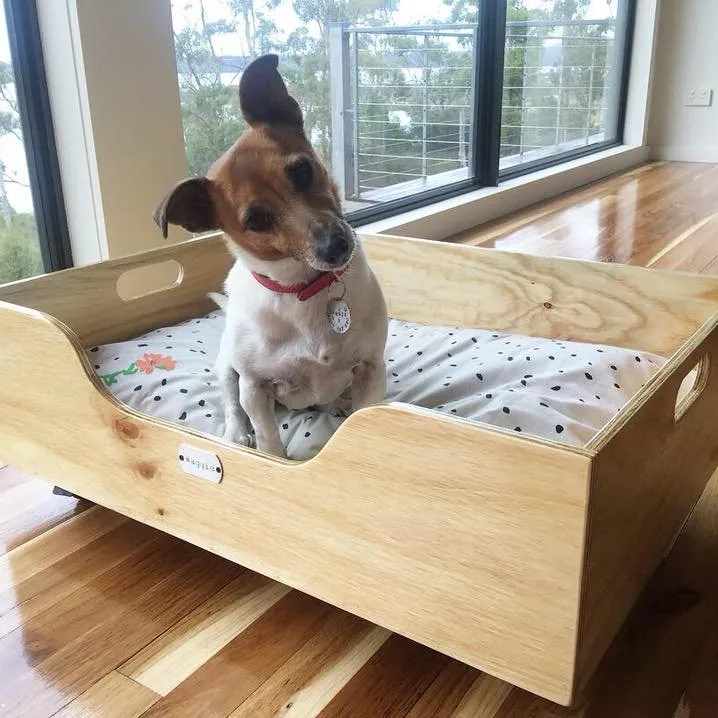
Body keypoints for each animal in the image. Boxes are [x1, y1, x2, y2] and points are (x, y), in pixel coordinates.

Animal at [152, 53, 388, 458]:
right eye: (256, 220)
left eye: (302, 169)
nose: (336, 246)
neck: (304, 289)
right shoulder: (254, 387)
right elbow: (268, 440)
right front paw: (267, 455)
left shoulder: (372, 368)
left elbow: (364, 420)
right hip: (227, 370)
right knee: (233, 406)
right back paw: (236, 434)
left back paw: (338, 404)